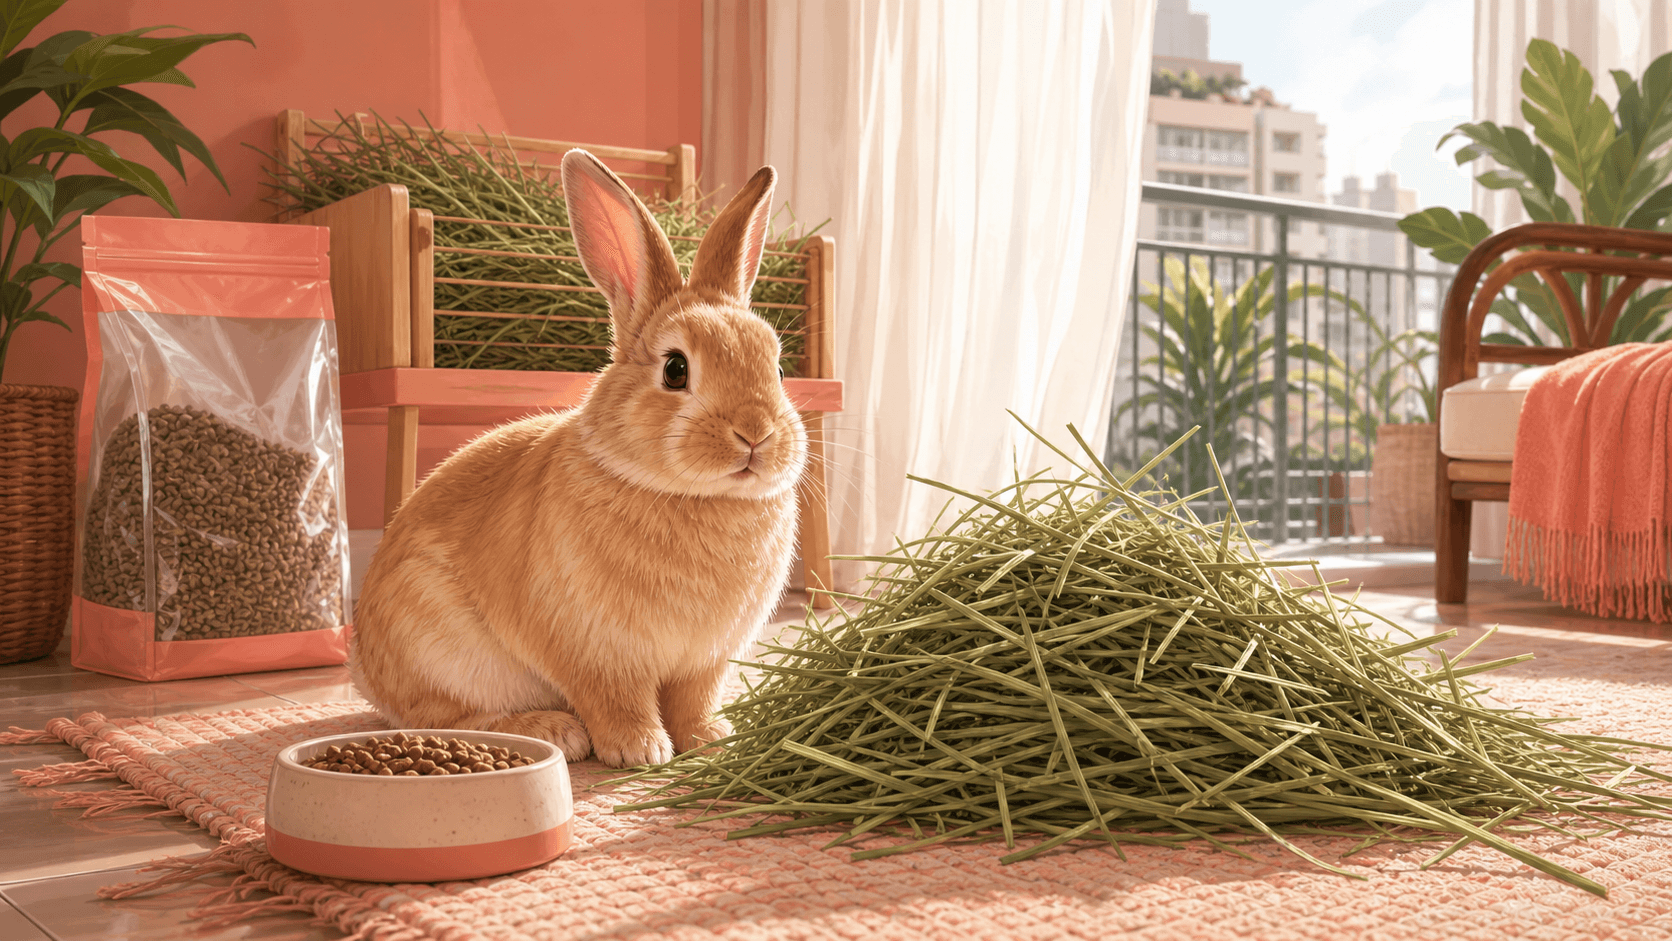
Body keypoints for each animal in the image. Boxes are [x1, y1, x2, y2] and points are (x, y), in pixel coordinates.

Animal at [348, 150, 807, 768]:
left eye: (777, 370)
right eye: (676, 370)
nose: (755, 434)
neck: (696, 496)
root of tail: (364, 669)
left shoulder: (705, 660)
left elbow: (694, 701)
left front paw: (709, 740)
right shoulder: (598, 651)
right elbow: (617, 700)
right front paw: (641, 751)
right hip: (438, 645)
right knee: (443, 716)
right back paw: (552, 732)